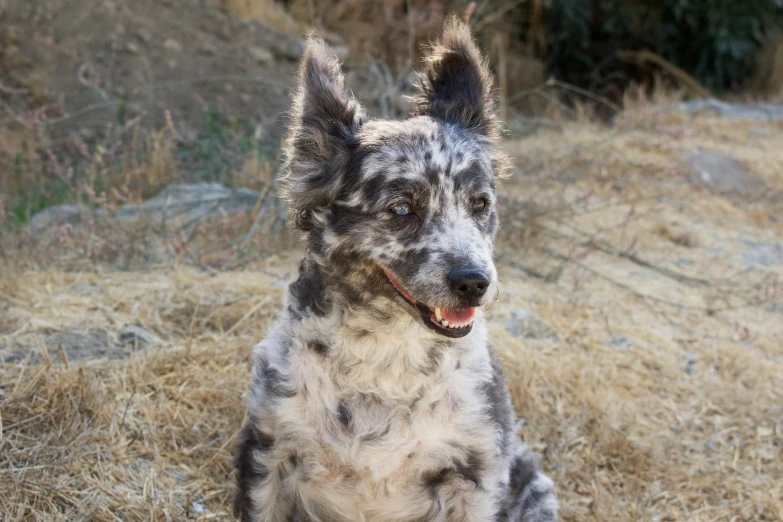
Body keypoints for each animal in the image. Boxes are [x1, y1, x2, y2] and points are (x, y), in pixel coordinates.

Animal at [233, 16, 556, 520]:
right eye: (401, 209)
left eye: (480, 204)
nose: (474, 282)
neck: (388, 361)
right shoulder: (266, 456)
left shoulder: (476, 476)